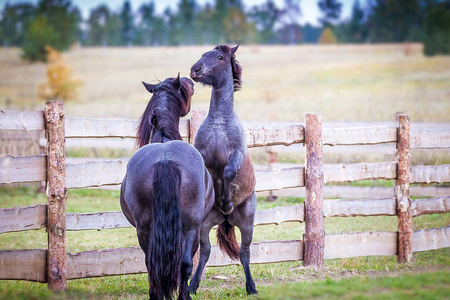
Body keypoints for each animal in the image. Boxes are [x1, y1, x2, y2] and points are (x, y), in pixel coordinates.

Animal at [119, 75, 214, 300]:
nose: (190, 80)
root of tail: (164, 160)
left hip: (145, 229)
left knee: (152, 264)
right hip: (190, 228)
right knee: (184, 264)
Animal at [188, 44, 256, 296]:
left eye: (219, 57)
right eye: (202, 55)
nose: (195, 70)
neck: (219, 124)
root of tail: (227, 219)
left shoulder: (235, 156)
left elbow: (227, 173)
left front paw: (226, 199)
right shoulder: (201, 153)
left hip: (247, 224)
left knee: (245, 253)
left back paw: (251, 287)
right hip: (205, 224)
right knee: (205, 252)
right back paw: (192, 286)